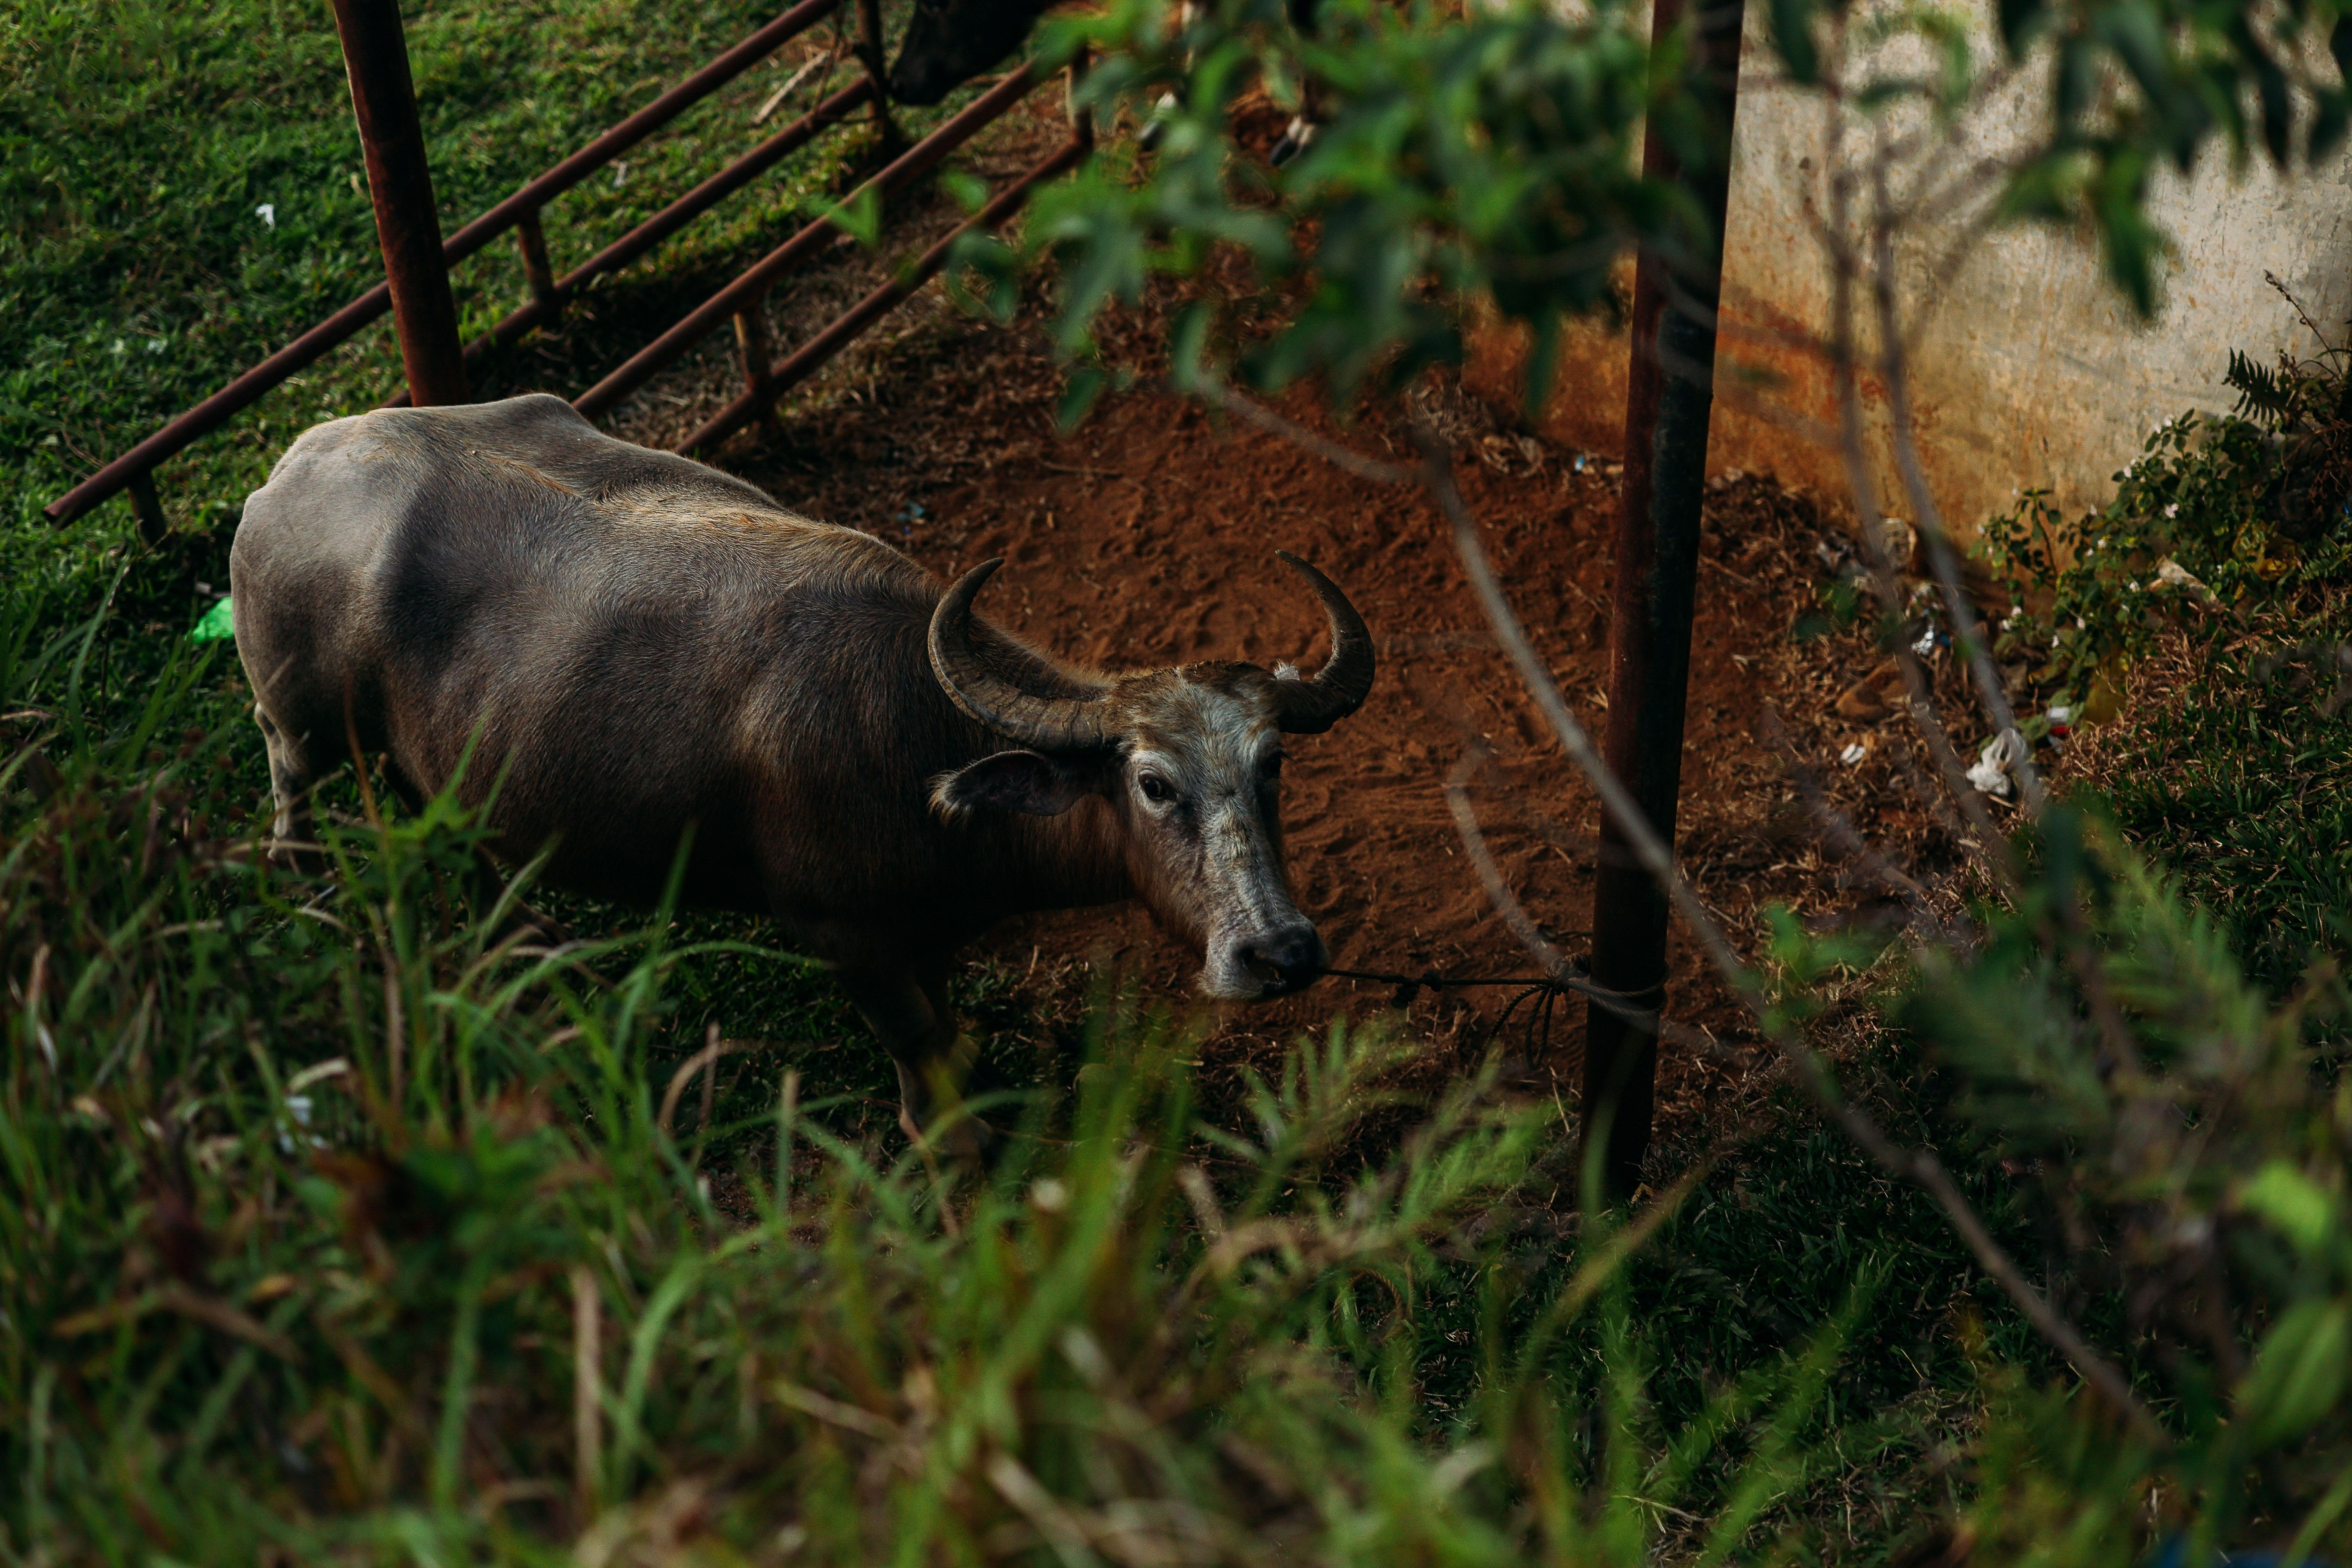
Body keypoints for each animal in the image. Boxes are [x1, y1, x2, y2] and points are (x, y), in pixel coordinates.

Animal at [230, 394, 1373, 1135]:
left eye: (1272, 766)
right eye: (1154, 785)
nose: (1280, 953)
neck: (917, 748)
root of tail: (285, 474)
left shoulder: (924, 933)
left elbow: (944, 1029)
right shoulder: (840, 939)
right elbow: (917, 1055)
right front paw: (942, 1143)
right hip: (298, 722)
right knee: (291, 795)